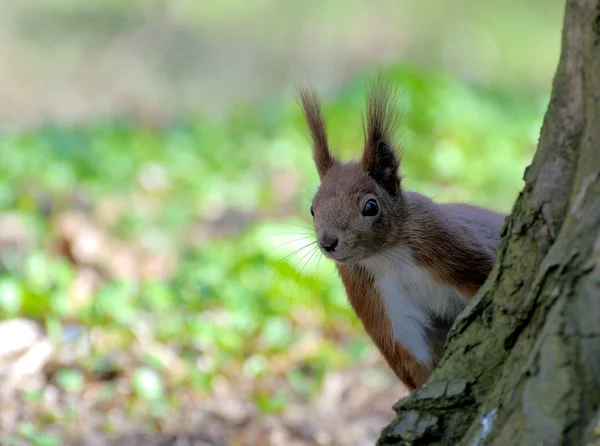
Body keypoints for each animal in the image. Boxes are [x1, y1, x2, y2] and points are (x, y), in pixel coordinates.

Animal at [298, 80, 504, 390]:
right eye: (312, 208)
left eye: (371, 207)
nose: (328, 242)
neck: (387, 256)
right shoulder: (378, 301)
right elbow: (410, 356)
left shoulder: (451, 246)